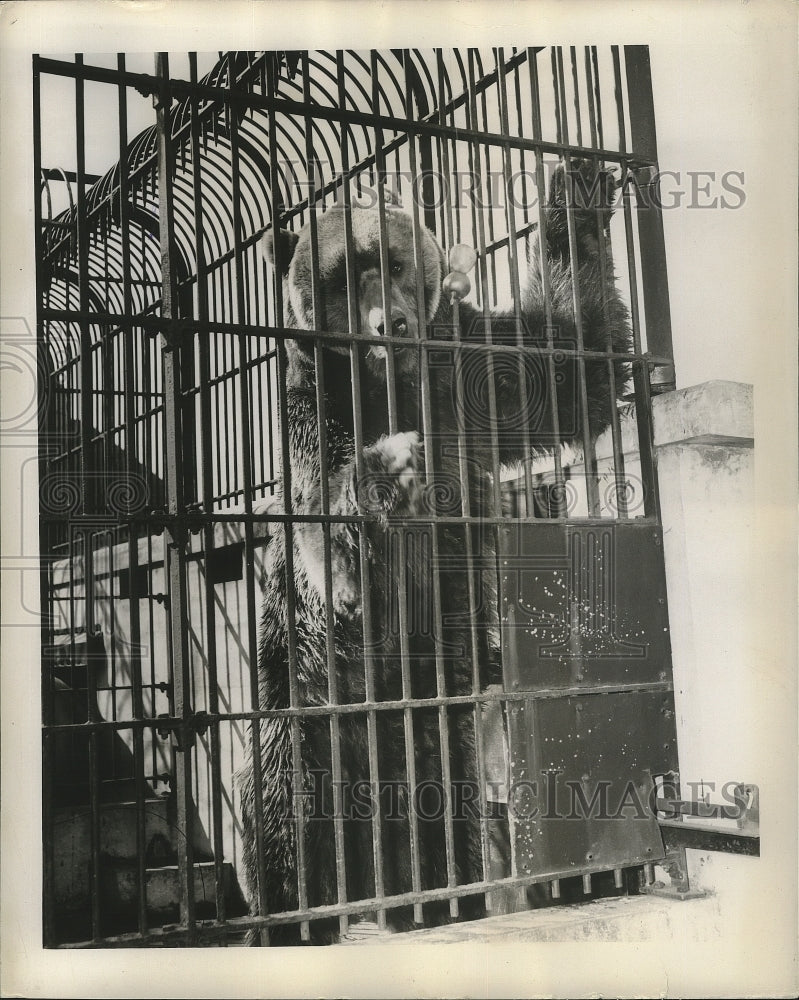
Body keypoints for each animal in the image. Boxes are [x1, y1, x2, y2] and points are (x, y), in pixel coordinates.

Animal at [234, 158, 636, 944]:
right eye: (337, 276)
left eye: (390, 262)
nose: (386, 322)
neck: (390, 383)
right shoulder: (316, 413)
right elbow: (327, 538)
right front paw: (387, 470)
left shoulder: (469, 374)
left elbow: (568, 359)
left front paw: (573, 200)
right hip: (295, 699)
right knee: (280, 815)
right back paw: (290, 919)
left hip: (435, 731)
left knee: (450, 821)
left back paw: (445, 900)